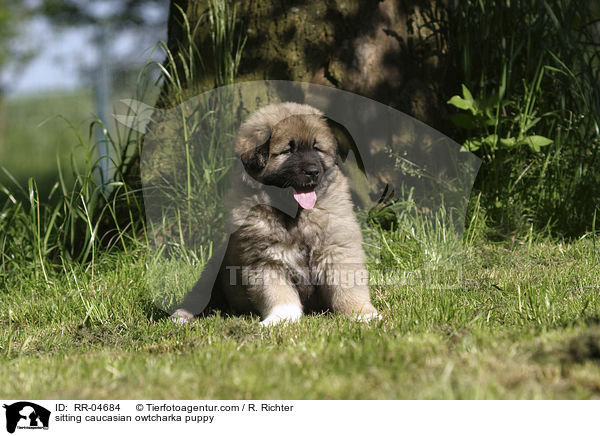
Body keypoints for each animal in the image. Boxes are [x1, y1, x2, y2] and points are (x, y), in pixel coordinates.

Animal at [169, 102, 378, 326]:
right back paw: (182, 315)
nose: (313, 171)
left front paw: (362, 313)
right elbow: (278, 295)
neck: (294, 217)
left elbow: (347, 287)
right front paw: (280, 319)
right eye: (287, 150)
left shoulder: (337, 250)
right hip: (213, 269)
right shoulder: (266, 261)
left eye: (316, 148)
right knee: (198, 296)